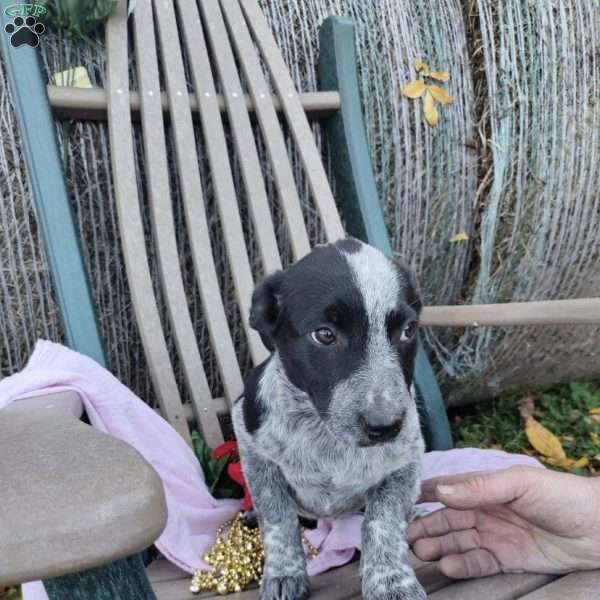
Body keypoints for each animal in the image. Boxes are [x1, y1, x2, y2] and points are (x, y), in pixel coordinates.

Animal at [233, 237, 426, 596]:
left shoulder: (405, 461)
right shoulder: (254, 449)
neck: (325, 435)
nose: (386, 427)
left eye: (408, 330)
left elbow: (383, 522)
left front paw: (392, 581)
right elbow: (278, 519)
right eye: (324, 335)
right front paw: (284, 573)